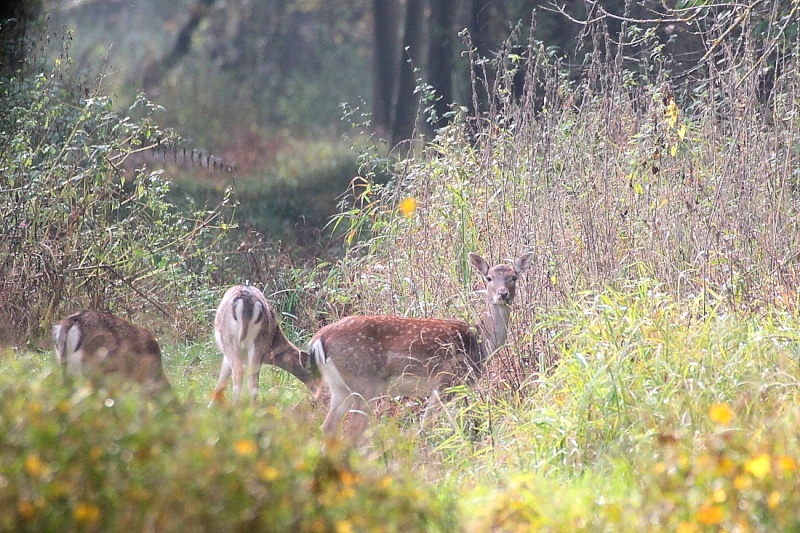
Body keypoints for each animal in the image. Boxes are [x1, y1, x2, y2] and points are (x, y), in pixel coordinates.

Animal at [310, 251, 536, 438]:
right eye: (488, 278)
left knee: (327, 427)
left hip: (339, 387)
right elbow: (428, 423)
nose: (502, 294)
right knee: (352, 430)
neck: (480, 342)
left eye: (513, 277)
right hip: (364, 382)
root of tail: (318, 340)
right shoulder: (447, 380)